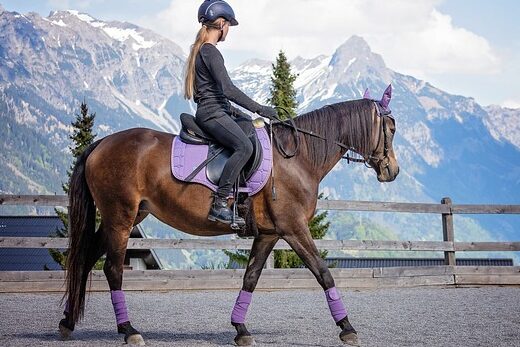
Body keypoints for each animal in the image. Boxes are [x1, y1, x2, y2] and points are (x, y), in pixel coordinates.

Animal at [59, 89, 398, 346]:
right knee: (113, 269)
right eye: (391, 129)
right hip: (121, 218)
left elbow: (251, 277)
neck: (297, 158)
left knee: (86, 259)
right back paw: (129, 330)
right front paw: (347, 327)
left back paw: (68, 322)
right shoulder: (294, 229)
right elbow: (323, 272)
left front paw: (240, 330)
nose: (392, 171)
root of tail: (101, 143)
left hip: (125, 217)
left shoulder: (269, 233)